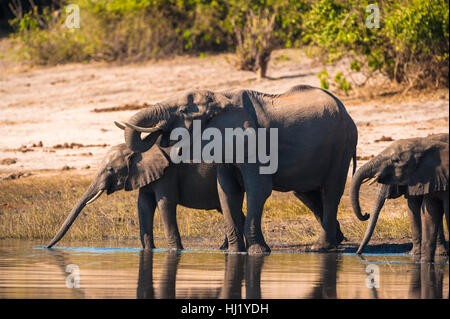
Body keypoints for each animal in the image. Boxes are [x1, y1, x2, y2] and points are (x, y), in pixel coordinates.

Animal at [44, 142, 239, 250]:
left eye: (110, 169)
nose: (46, 247)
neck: (139, 150)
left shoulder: (167, 174)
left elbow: (165, 204)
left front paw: (176, 250)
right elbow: (143, 205)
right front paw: (149, 250)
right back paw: (222, 249)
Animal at [118, 85, 356, 255]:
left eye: (184, 111)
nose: (159, 131)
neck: (222, 97)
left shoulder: (255, 143)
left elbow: (257, 189)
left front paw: (258, 252)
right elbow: (226, 191)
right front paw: (234, 253)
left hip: (342, 145)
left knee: (331, 191)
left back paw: (321, 247)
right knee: (307, 194)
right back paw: (337, 239)